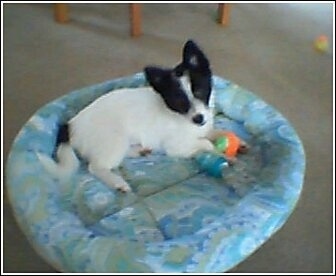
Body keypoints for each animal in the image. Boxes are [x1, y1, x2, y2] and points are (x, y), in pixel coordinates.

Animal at [38, 40, 220, 192]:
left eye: (200, 92)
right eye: (180, 102)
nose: (199, 119)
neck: (181, 117)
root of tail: (70, 126)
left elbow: (211, 133)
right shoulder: (176, 146)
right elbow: (206, 143)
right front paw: (217, 151)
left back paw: (139, 151)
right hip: (114, 141)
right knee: (95, 167)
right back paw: (117, 182)